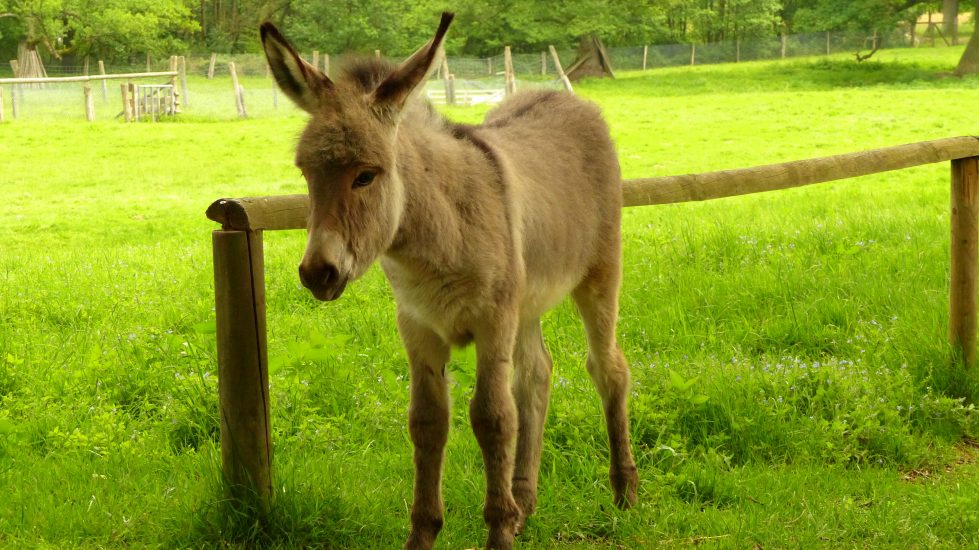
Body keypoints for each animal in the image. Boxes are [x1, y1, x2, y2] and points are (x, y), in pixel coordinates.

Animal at [262, 12, 644, 550]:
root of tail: (564, 97)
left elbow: (492, 418)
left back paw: (623, 490)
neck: (431, 240)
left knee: (608, 369)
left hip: (599, 275)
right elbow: (427, 422)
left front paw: (498, 531)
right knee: (536, 375)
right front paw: (427, 532)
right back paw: (524, 503)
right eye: (305, 173)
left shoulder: (492, 322)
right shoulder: (418, 328)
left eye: (367, 175)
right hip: (526, 303)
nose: (318, 273)